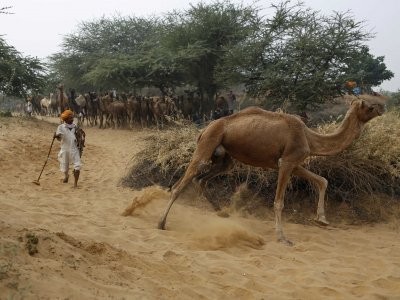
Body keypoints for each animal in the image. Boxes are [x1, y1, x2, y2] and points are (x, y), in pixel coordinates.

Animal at [158, 94, 386, 246]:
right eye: (370, 106)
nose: (383, 107)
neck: (310, 138)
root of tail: (204, 129)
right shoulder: (287, 162)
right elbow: (279, 202)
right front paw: (283, 237)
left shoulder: (294, 163)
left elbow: (322, 180)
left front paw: (322, 219)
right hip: (207, 144)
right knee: (181, 183)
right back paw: (161, 222)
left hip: (225, 158)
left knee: (201, 179)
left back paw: (221, 213)